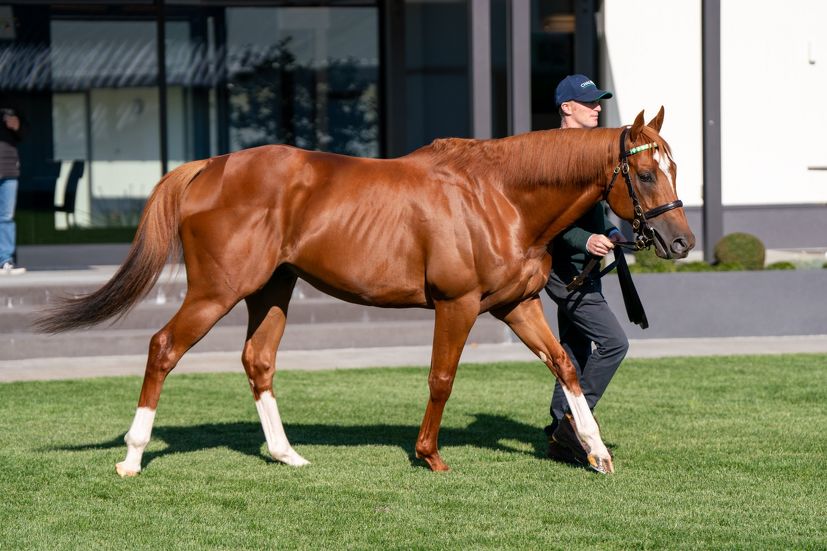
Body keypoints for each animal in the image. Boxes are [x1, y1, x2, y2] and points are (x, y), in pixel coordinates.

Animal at [40, 106, 700, 474]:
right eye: (646, 172)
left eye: (674, 167)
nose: (682, 241)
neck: (498, 195)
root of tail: (211, 166)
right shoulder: (458, 306)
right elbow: (442, 378)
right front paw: (429, 455)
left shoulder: (516, 305)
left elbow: (565, 364)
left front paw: (595, 452)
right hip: (215, 292)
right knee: (163, 348)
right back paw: (132, 457)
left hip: (272, 290)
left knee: (258, 360)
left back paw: (286, 454)